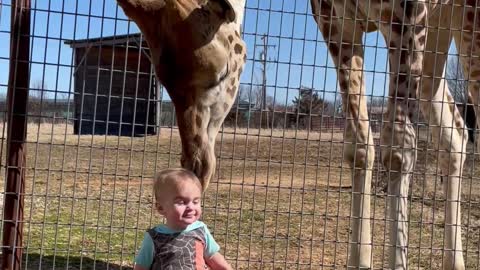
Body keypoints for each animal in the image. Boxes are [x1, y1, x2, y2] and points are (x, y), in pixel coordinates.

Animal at [310, 1, 478, 268]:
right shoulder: (334, 22)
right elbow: (358, 145)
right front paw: (359, 260)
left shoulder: (407, 14)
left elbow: (399, 147)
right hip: (437, 33)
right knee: (455, 134)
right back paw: (454, 262)